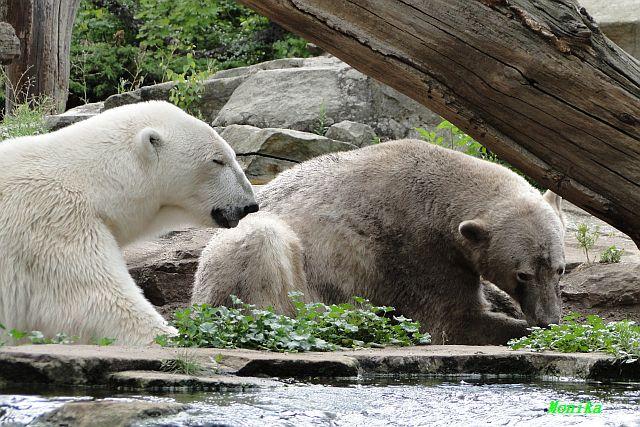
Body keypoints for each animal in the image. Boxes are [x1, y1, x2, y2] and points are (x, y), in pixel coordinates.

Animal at [0, 101, 258, 346]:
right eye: (218, 160)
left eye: (233, 155)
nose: (250, 205)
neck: (95, 182)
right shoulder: (54, 221)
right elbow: (96, 302)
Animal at [192, 139, 566, 345]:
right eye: (522, 274)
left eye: (559, 269)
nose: (549, 319)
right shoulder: (416, 249)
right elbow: (453, 321)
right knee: (263, 244)